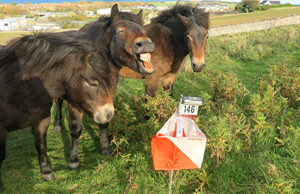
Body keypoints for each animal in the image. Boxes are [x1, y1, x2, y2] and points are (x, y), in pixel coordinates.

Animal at [0, 32, 119, 192]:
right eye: (92, 82)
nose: (109, 114)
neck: (20, 86)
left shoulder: (42, 120)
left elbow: (41, 145)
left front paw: (46, 172)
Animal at [52, 4, 155, 161]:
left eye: (143, 31)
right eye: (120, 31)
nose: (147, 45)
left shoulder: (108, 97)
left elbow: (104, 123)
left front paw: (105, 149)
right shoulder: (74, 103)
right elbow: (76, 129)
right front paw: (73, 158)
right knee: (58, 102)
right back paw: (57, 125)